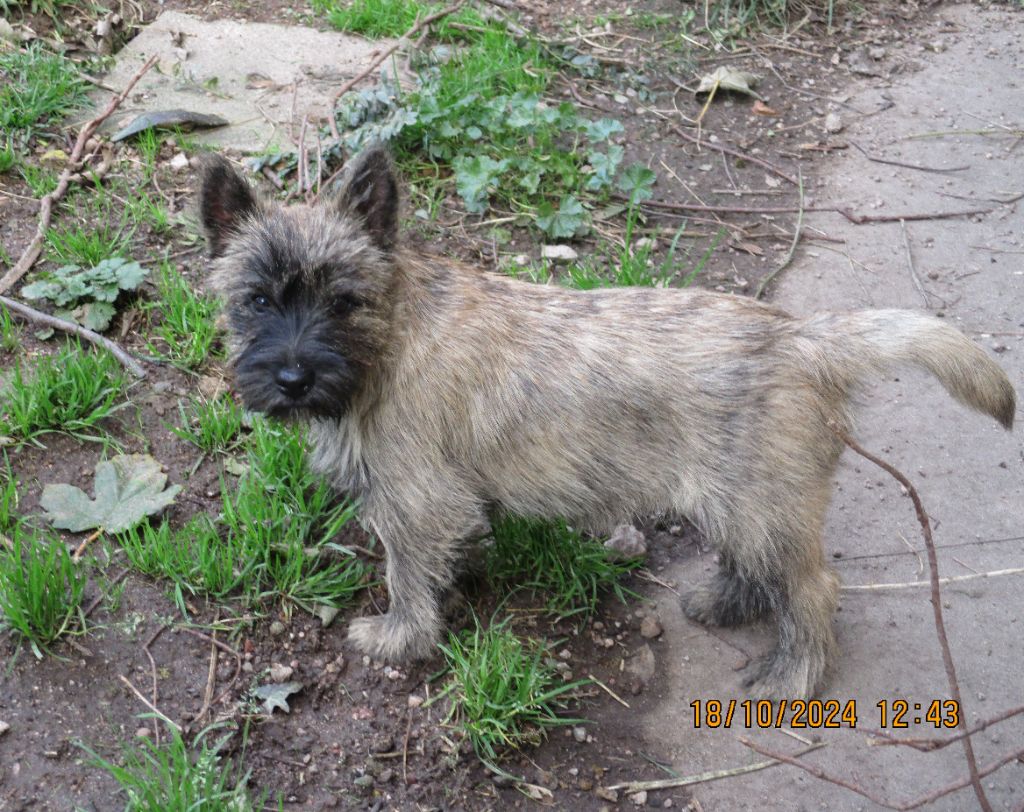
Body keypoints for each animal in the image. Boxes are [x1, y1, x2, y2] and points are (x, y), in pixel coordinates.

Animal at [199, 145, 1015, 696]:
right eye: (257, 300)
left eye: (343, 301)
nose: (293, 379)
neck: (391, 337)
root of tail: (803, 339)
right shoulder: (439, 502)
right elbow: (449, 553)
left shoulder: (412, 501)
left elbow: (406, 575)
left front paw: (400, 637)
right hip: (743, 504)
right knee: (764, 570)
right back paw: (726, 602)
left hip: (761, 505)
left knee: (814, 590)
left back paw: (794, 677)